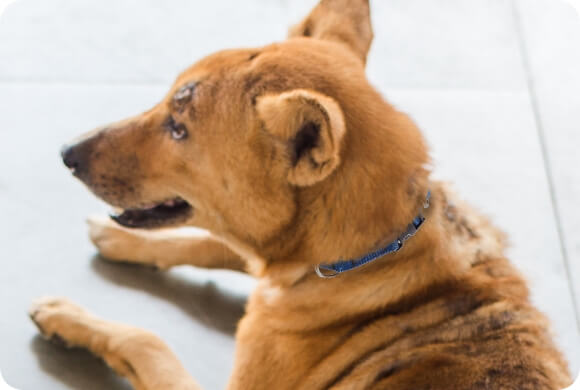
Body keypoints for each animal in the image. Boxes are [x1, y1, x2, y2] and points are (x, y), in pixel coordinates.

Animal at [28, 1, 572, 388]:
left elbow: (148, 341)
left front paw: (68, 317)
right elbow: (215, 244)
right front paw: (125, 243)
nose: (67, 153)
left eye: (178, 129)